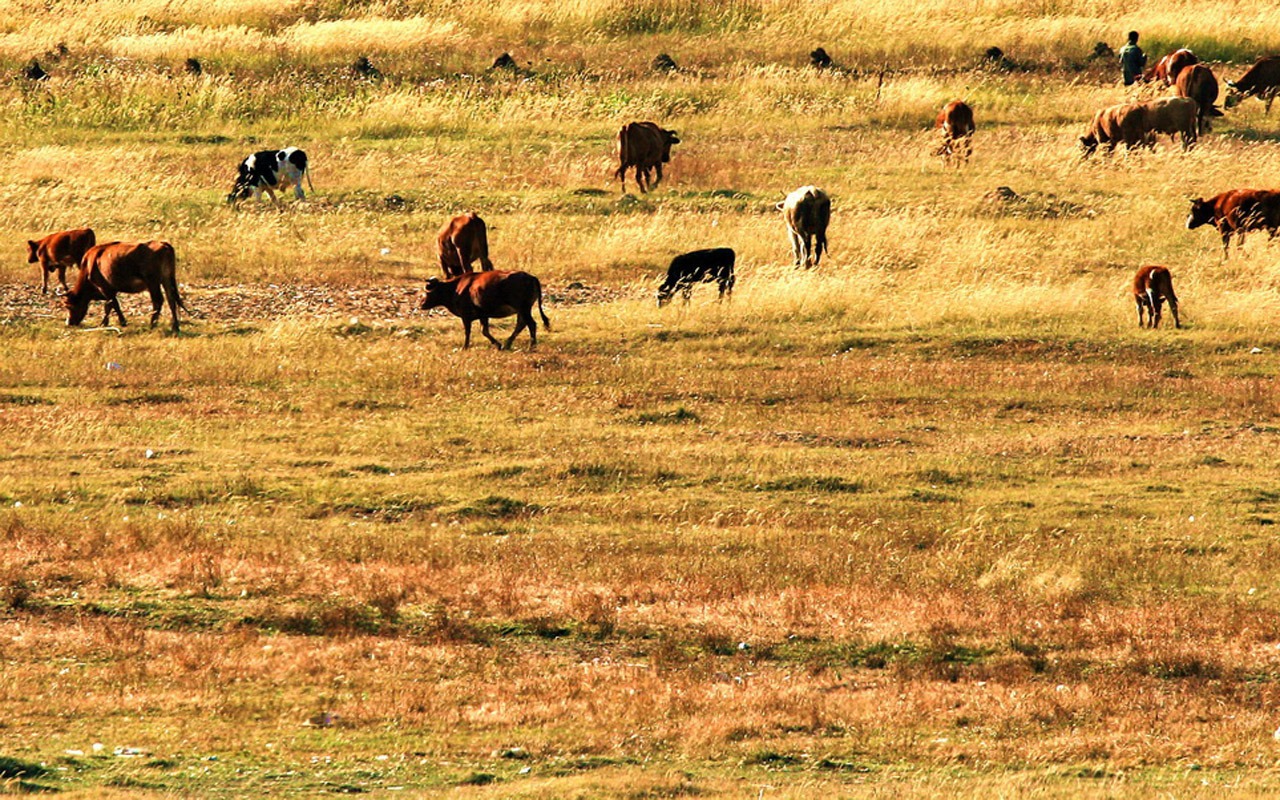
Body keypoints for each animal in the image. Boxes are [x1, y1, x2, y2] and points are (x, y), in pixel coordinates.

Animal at [419, 270, 550, 348]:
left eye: (428, 290)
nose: (421, 304)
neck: (456, 288)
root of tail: (530, 277)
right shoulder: (483, 315)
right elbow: (484, 331)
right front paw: (498, 345)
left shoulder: (466, 316)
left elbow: (468, 332)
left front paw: (465, 347)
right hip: (522, 310)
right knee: (521, 324)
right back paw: (507, 344)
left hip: (523, 308)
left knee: (531, 324)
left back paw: (531, 346)